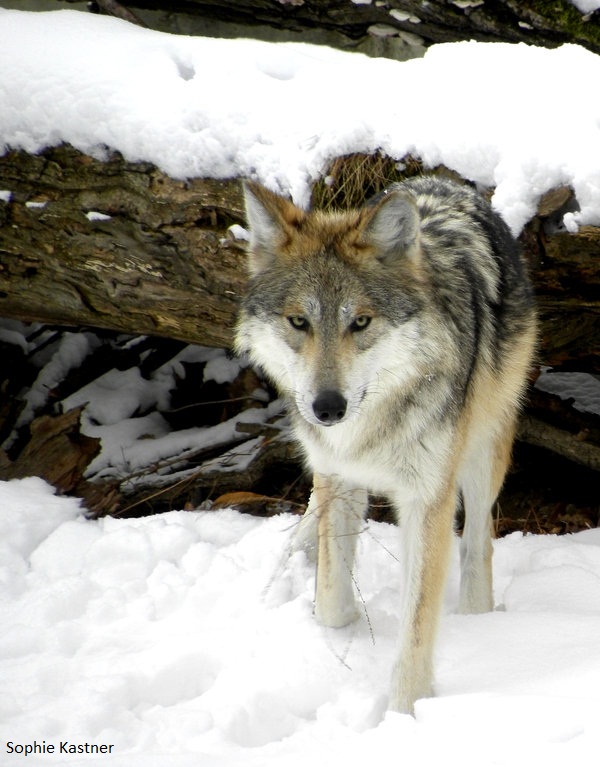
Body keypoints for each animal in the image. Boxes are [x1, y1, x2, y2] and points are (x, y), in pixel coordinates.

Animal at [235, 174, 536, 714]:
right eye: (298, 322)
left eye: (360, 322)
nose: (327, 408)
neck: (370, 426)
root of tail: (448, 182)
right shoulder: (338, 474)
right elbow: (330, 601)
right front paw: (339, 630)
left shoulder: (427, 499)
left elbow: (417, 627)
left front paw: (404, 714)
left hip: (483, 450)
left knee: (478, 543)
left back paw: (479, 619)